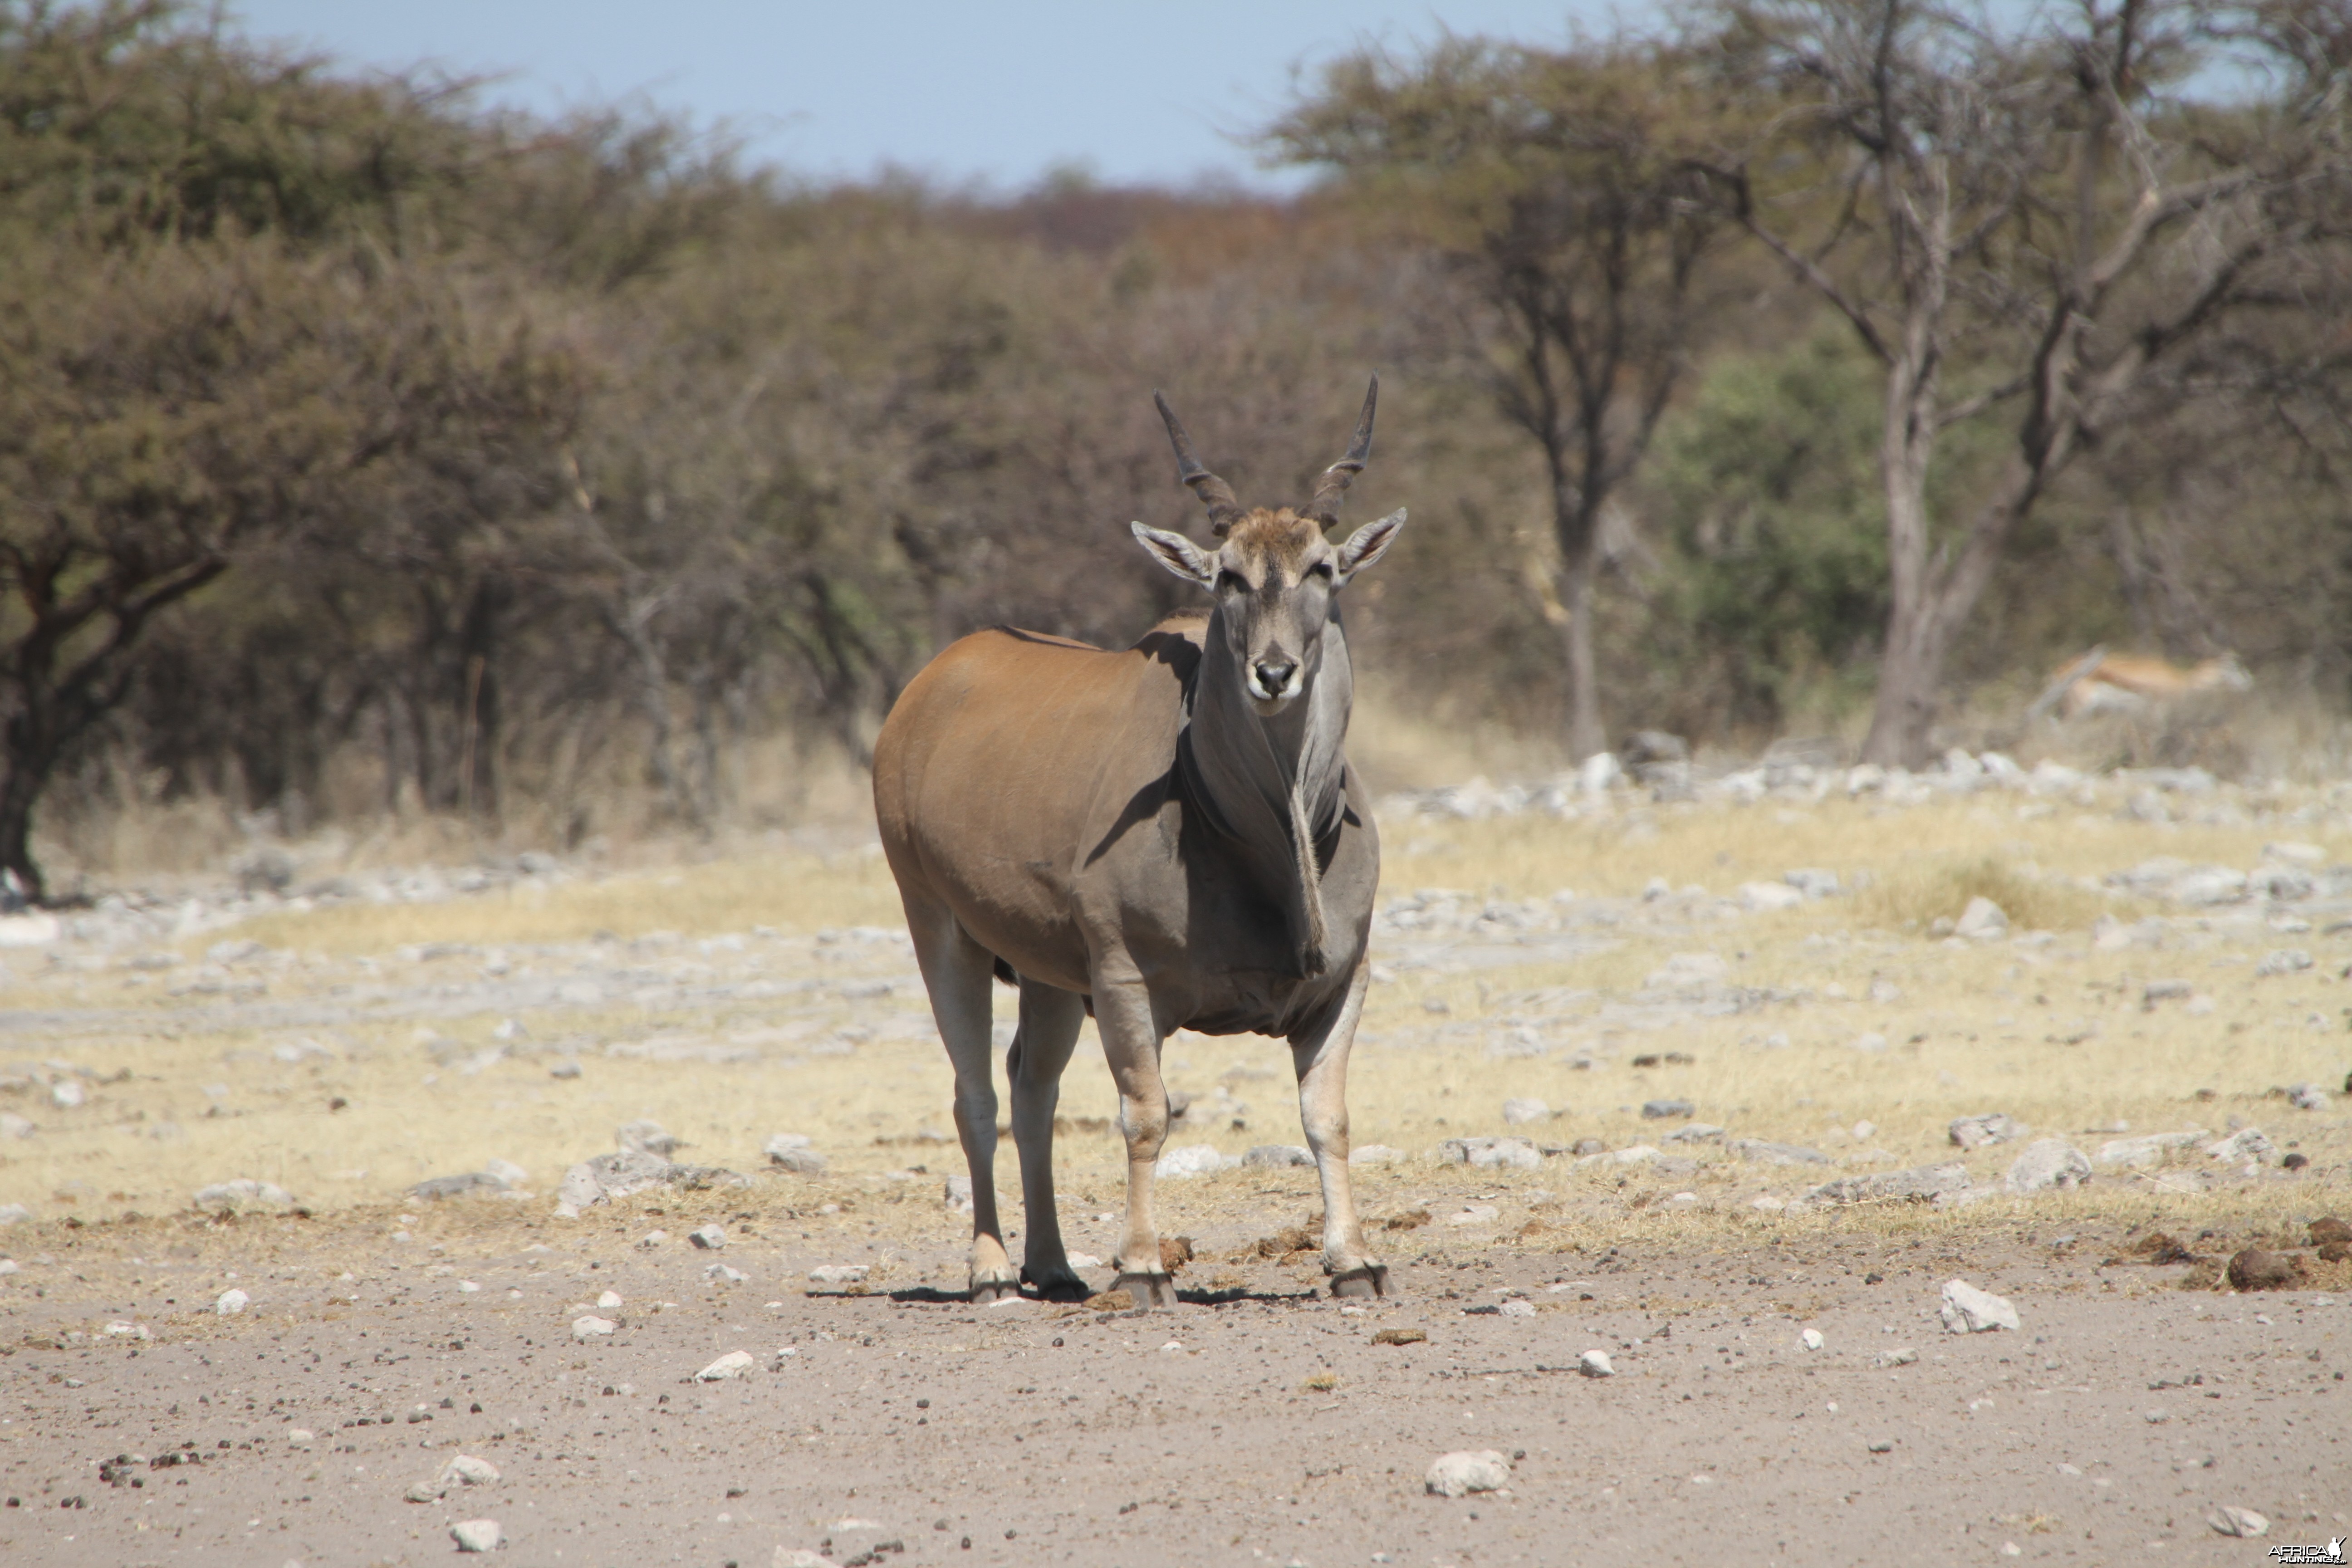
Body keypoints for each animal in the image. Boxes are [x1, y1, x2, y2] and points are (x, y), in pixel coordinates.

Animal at [875, 383, 1401, 1316]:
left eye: (1322, 569)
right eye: (1228, 575)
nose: (1274, 673)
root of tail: (923, 692)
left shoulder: (1344, 982)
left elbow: (1327, 1118)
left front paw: (1354, 1261)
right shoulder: (1124, 982)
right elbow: (1146, 1114)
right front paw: (1145, 1266)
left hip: (1048, 974)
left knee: (1030, 1087)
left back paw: (1052, 1265)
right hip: (939, 928)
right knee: (975, 1095)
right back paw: (989, 1270)